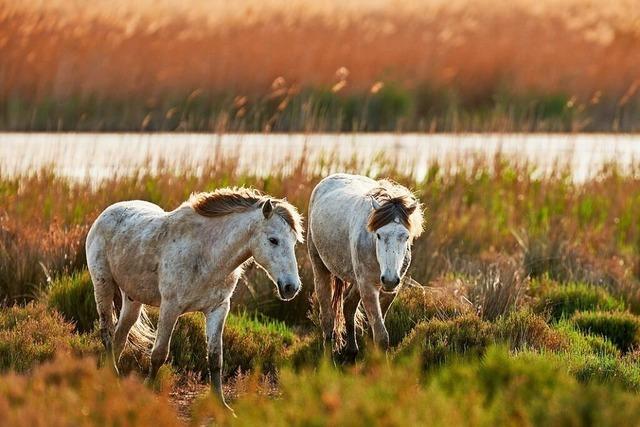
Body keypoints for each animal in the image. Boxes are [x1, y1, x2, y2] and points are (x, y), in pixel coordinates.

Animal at [86, 187, 304, 408]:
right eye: (273, 240)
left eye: (294, 242)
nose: (291, 287)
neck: (207, 253)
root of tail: (107, 213)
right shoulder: (170, 307)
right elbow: (159, 354)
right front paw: (146, 395)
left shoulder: (218, 309)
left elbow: (215, 358)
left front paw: (222, 406)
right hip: (103, 285)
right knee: (107, 333)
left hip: (133, 299)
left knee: (120, 338)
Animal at [308, 173, 422, 358]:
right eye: (379, 235)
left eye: (405, 237)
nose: (389, 280)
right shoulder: (368, 287)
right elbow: (381, 336)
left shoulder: (389, 291)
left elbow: (375, 330)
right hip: (321, 267)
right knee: (327, 318)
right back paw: (328, 358)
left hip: (357, 280)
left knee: (348, 305)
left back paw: (352, 350)